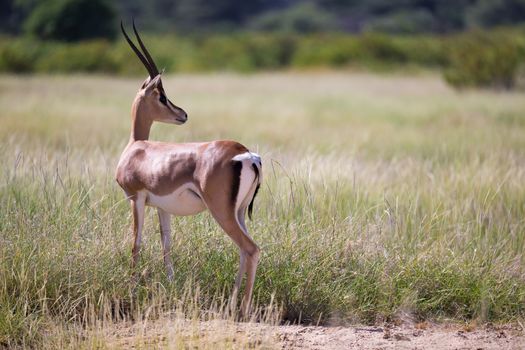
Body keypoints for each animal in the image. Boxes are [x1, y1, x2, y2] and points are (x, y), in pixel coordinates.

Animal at [115, 23, 262, 316]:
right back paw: (232, 303)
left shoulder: (136, 198)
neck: (137, 148)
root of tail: (246, 154)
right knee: (244, 250)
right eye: (162, 96)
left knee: (250, 249)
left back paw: (242, 309)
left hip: (221, 212)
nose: (183, 114)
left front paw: (132, 291)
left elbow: (136, 243)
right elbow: (166, 244)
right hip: (239, 212)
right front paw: (171, 286)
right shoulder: (162, 207)